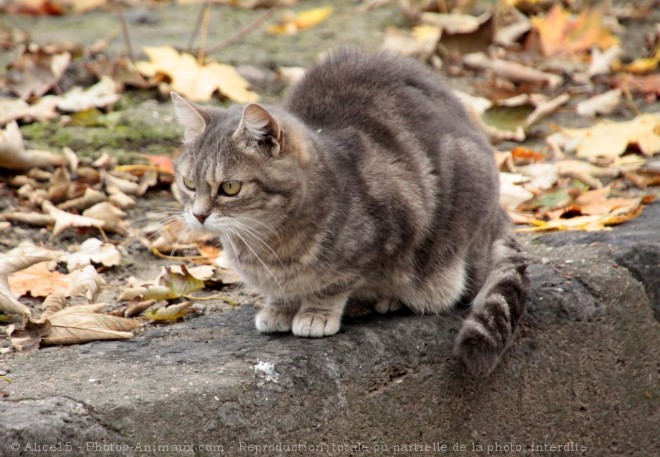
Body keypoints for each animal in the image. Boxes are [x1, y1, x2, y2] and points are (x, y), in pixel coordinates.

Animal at [173, 49, 528, 374]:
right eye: (189, 184)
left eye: (230, 187)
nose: (199, 215)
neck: (265, 244)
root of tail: (499, 216)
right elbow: (281, 292)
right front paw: (279, 308)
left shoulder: (386, 234)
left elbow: (334, 284)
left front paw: (315, 314)